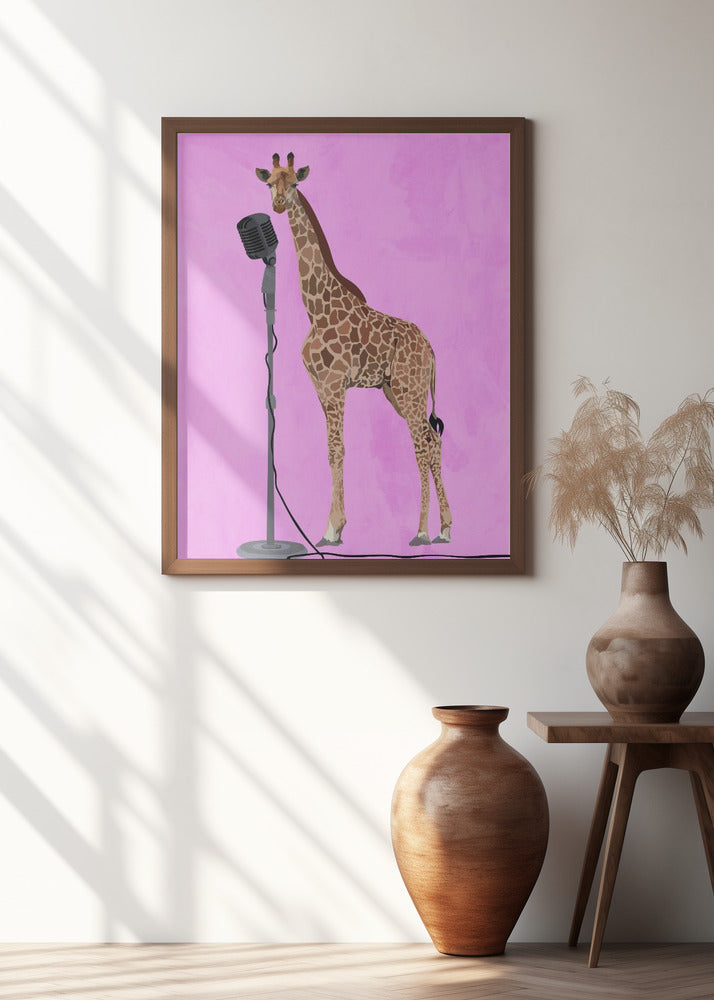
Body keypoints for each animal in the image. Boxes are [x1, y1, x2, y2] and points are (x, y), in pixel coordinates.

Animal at [255, 152, 452, 548]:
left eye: (294, 183)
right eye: (269, 183)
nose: (279, 204)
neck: (316, 308)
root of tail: (431, 349)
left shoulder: (335, 384)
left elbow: (337, 449)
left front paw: (332, 529)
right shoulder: (320, 386)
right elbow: (331, 450)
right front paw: (334, 527)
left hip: (410, 390)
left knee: (422, 445)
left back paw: (422, 531)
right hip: (397, 391)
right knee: (432, 440)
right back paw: (445, 529)